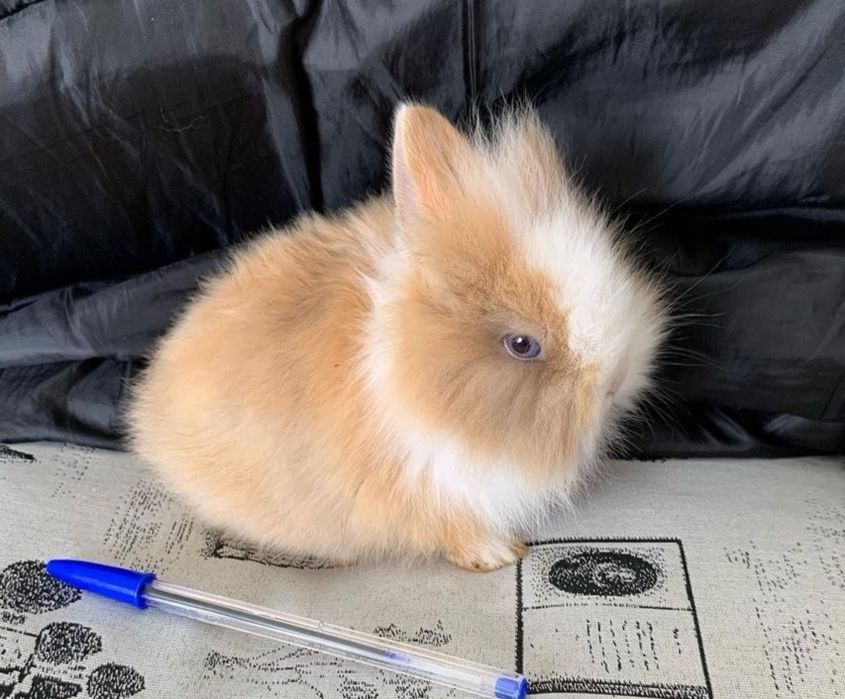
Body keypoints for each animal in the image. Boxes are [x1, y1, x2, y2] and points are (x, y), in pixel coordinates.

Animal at [128, 102, 668, 572]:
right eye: (522, 344)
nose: (616, 382)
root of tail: (149, 405)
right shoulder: (431, 488)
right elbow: (454, 529)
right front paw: (497, 554)